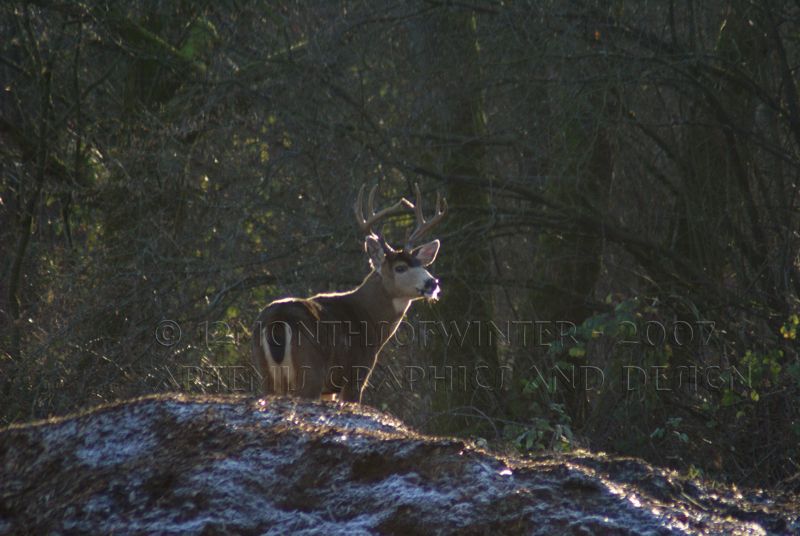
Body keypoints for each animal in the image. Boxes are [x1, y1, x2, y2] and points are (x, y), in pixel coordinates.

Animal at [253, 183, 446, 402]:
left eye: (421, 264)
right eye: (400, 268)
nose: (432, 283)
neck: (369, 318)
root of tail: (277, 320)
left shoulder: (329, 389)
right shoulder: (356, 373)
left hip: (266, 373)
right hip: (310, 371)